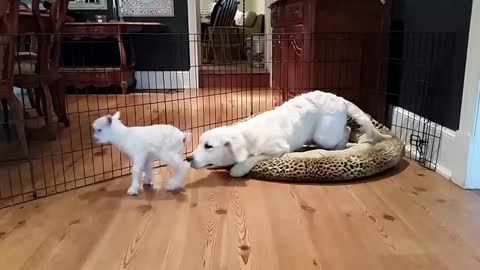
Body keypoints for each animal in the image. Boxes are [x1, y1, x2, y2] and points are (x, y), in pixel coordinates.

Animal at [188, 90, 390, 177]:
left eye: (209, 146)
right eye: (199, 144)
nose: (188, 158)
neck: (246, 135)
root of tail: (340, 99)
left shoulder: (277, 149)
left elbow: (251, 159)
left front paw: (238, 168)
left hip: (324, 134)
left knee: (345, 131)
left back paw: (339, 146)